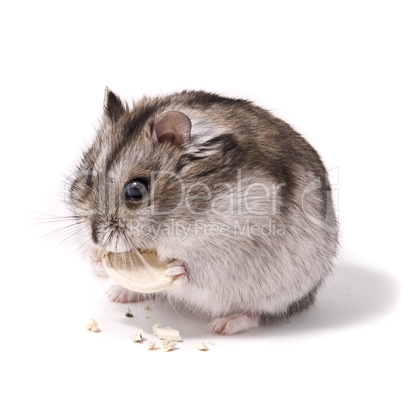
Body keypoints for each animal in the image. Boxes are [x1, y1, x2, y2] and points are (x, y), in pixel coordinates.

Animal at [68, 88, 336, 336]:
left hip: (283, 292)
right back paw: (117, 293)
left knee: (260, 313)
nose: (94, 237)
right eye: (89, 176)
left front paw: (176, 271)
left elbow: (195, 273)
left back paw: (223, 325)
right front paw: (96, 258)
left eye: (135, 190)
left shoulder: (232, 248)